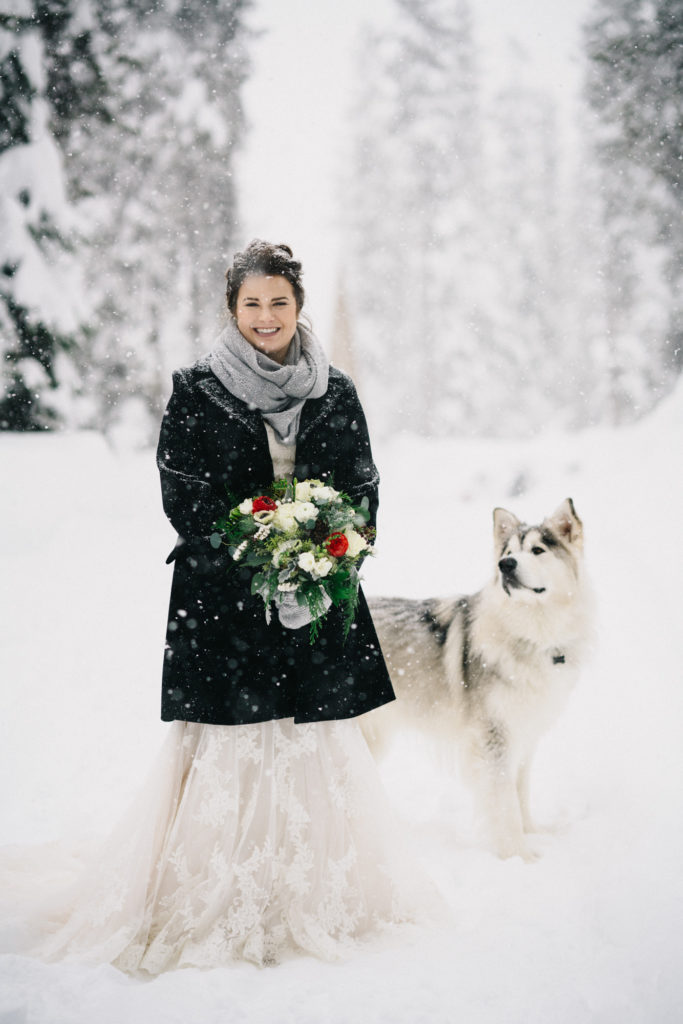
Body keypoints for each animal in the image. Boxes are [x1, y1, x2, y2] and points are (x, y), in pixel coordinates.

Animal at [362, 499, 593, 860]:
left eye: (537, 550)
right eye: (509, 552)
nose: (505, 565)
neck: (532, 633)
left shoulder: (524, 736)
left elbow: (520, 794)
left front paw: (533, 835)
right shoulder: (493, 738)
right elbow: (505, 805)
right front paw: (519, 855)